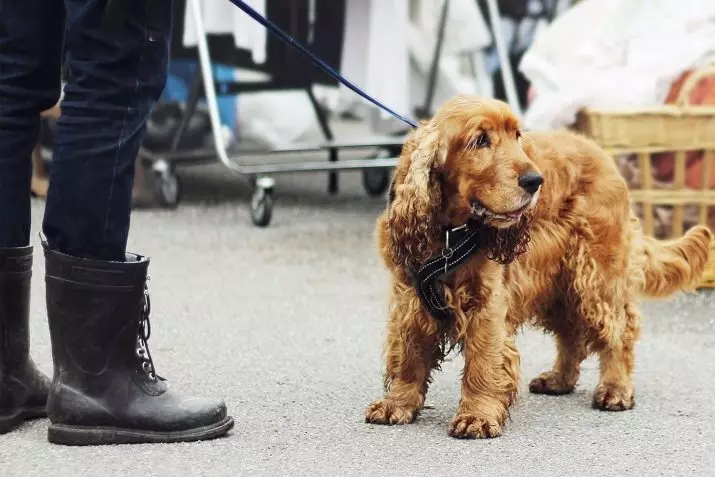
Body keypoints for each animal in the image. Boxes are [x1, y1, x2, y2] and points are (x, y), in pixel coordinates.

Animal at [366, 94, 712, 438]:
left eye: (517, 135)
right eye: (480, 140)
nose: (535, 181)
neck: (451, 233)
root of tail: (602, 153)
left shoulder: (488, 302)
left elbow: (483, 361)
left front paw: (477, 416)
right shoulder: (409, 299)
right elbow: (408, 356)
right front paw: (397, 404)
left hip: (595, 274)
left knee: (618, 331)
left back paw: (615, 389)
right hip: (559, 282)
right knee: (571, 333)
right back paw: (559, 380)